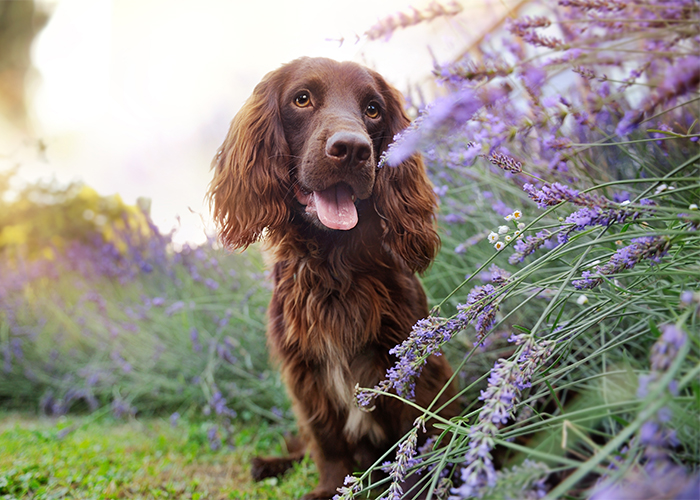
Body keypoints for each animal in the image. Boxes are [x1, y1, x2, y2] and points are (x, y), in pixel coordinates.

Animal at [208, 56, 460, 498]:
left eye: (373, 109)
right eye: (302, 99)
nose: (352, 149)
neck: (334, 264)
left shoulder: (412, 358)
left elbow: (418, 429)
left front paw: (418, 483)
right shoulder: (305, 373)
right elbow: (326, 441)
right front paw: (329, 487)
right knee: (302, 447)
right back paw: (267, 463)